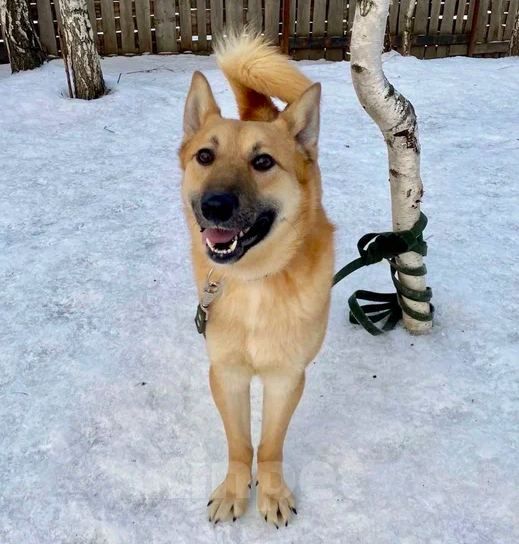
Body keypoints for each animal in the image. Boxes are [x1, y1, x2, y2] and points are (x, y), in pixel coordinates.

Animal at [181, 34, 336, 528]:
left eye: (263, 161)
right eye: (205, 156)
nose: (215, 205)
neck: (253, 284)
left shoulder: (285, 377)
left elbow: (268, 445)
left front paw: (270, 492)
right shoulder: (227, 373)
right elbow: (239, 442)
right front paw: (235, 490)